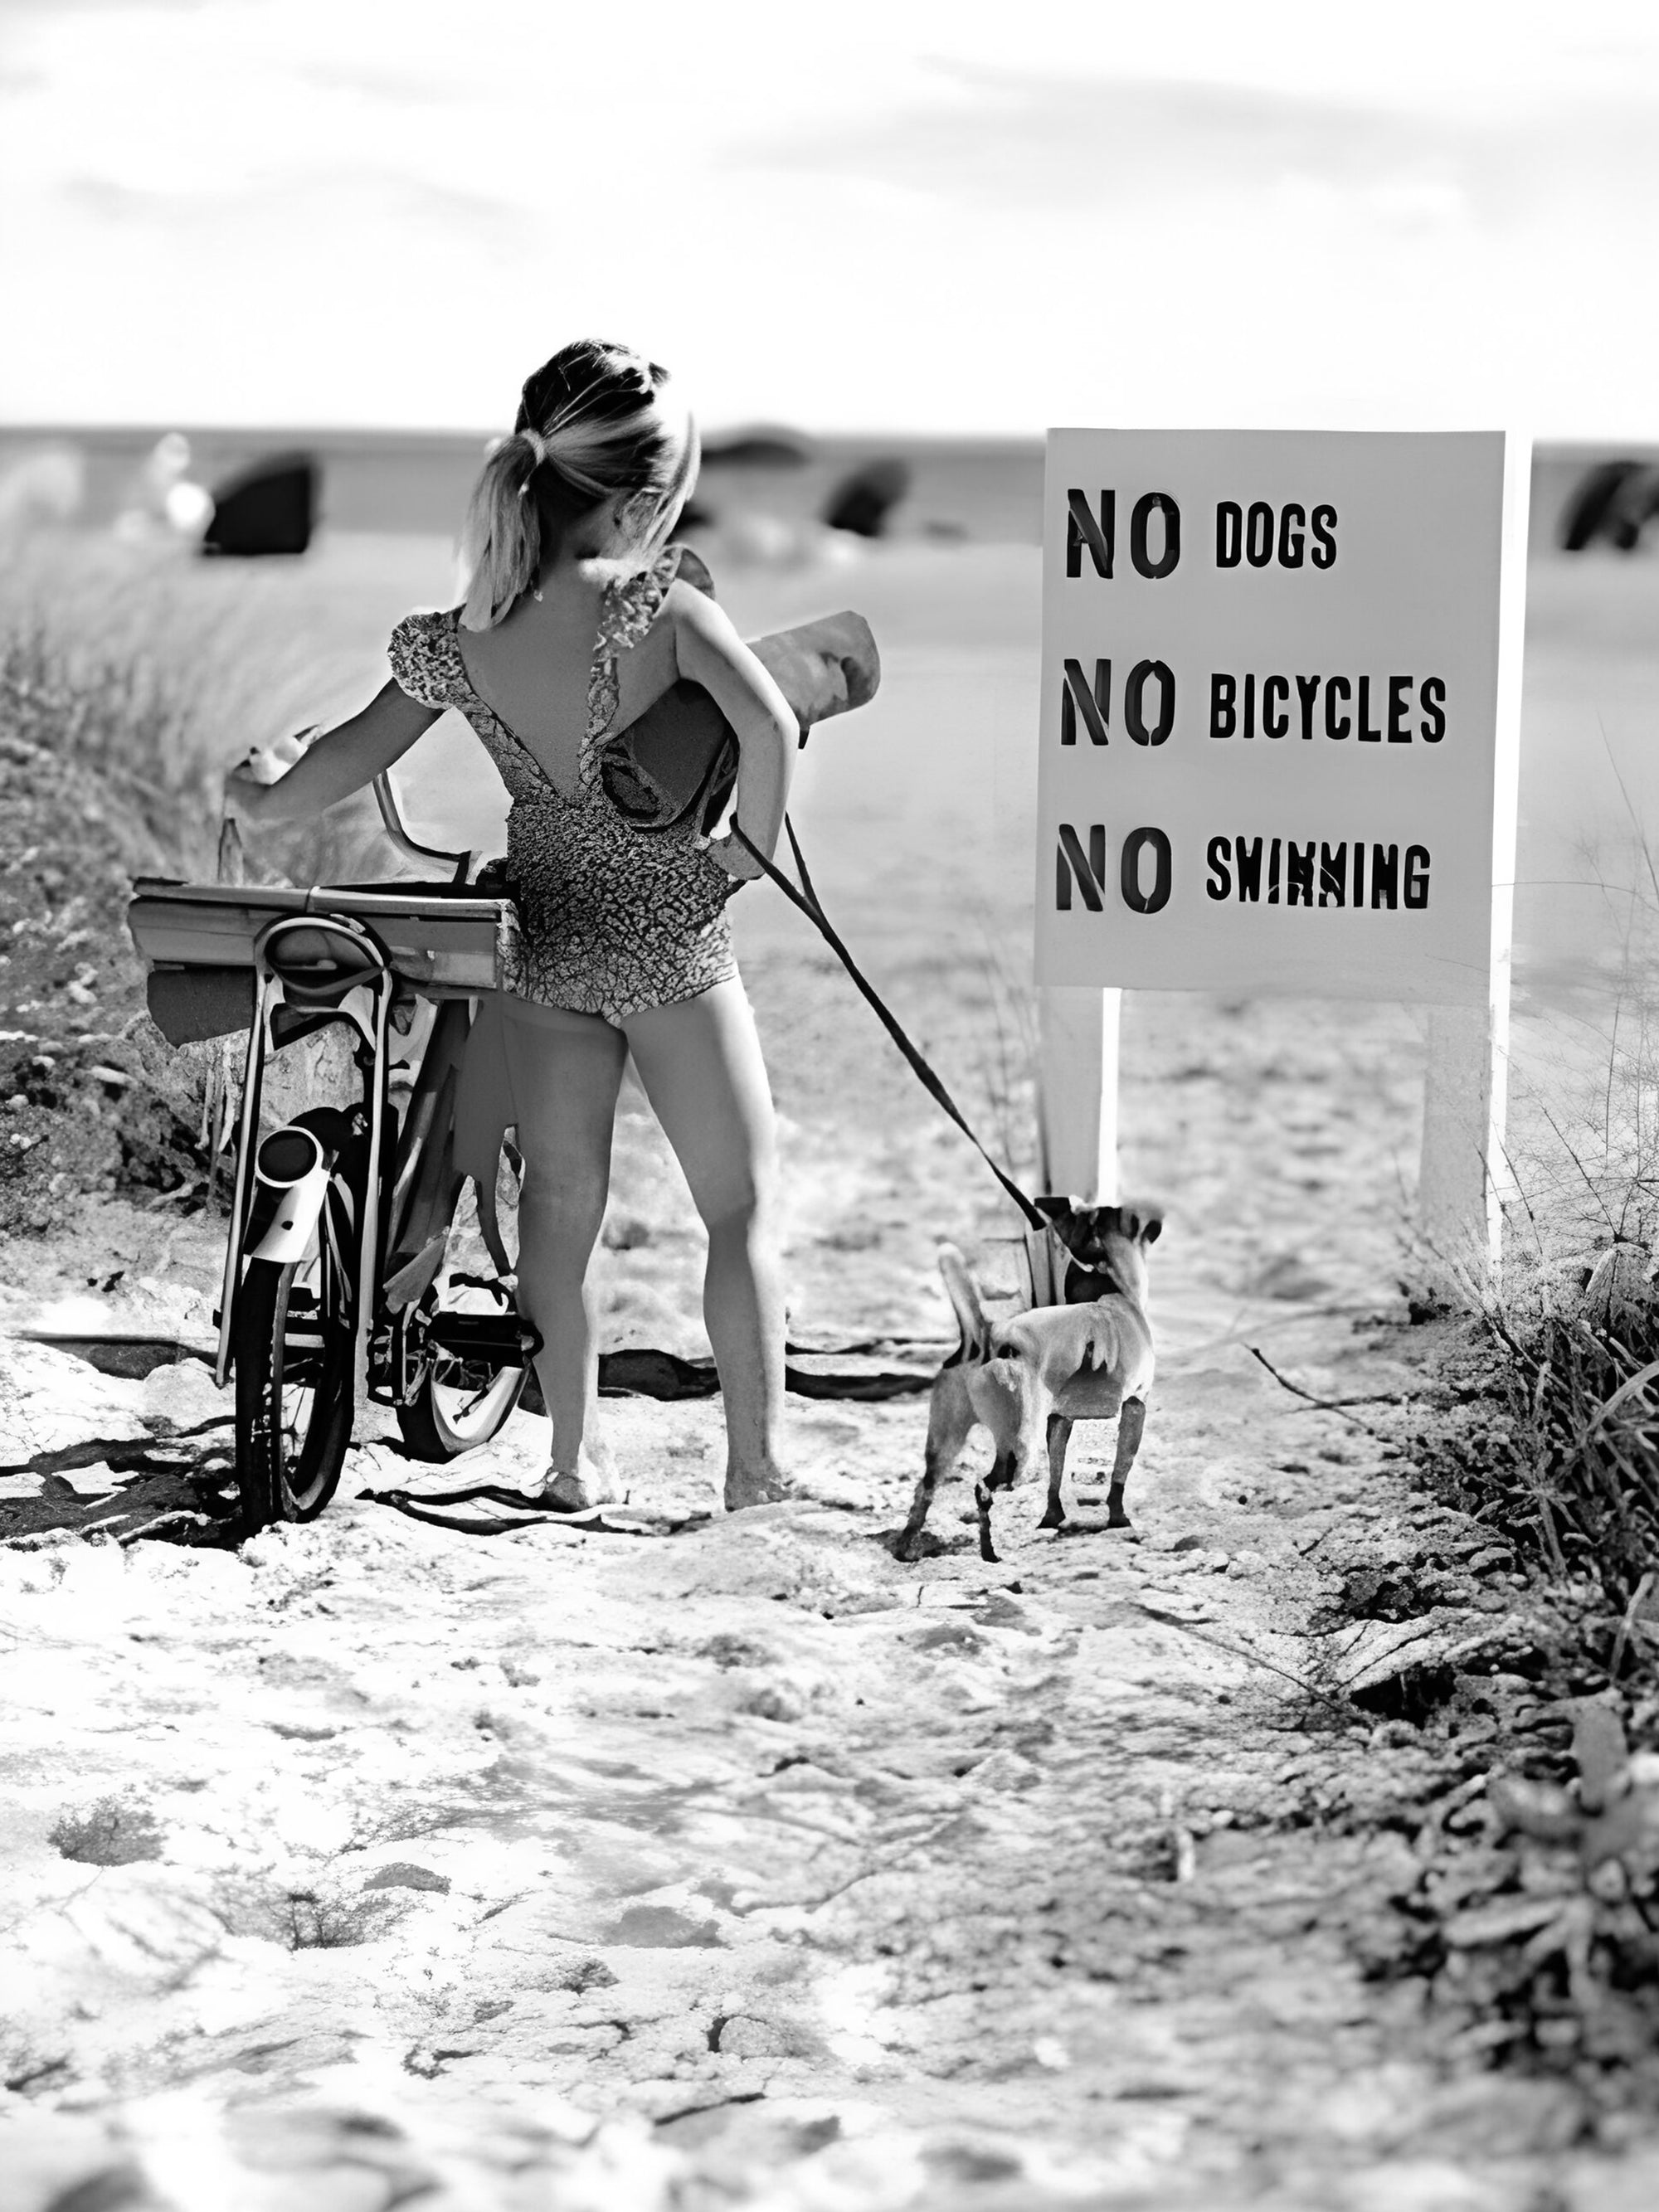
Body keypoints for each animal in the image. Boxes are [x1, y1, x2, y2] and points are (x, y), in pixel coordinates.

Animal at [902, 1203, 1159, 1566]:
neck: (1114, 1289)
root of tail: (987, 1336)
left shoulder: (1059, 1419)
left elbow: (1057, 1471)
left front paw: (1053, 1519)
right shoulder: (1136, 1404)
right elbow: (1121, 1470)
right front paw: (1118, 1520)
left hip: (947, 1440)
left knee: (927, 1486)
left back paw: (908, 1547)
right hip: (1021, 1450)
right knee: (985, 1488)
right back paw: (992, 1553)